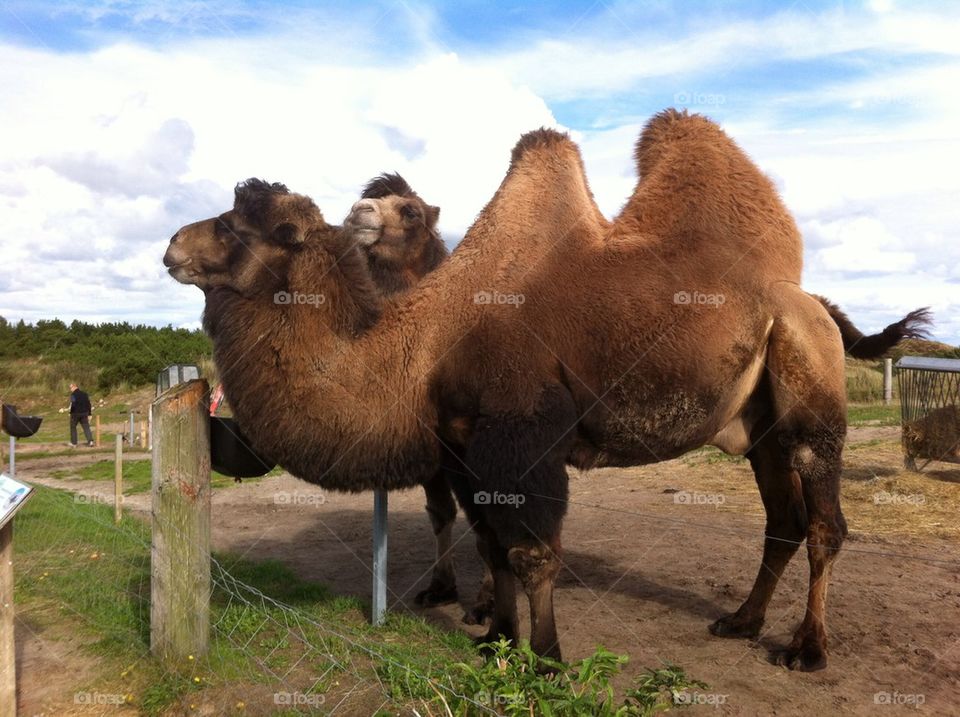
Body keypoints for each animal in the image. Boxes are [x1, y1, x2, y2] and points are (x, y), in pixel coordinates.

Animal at [164, 109, 932, 670]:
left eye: (234, 226)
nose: (171, 246)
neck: (425, 345)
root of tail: (813, 302)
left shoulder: (523, 436)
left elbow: (533, 553)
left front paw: (548, 657)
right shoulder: (466, 446)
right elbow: (492, 545)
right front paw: (495, 640)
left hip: (810, 390)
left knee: (823, 521)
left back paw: (806, 649)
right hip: (756, 425)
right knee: (782, 520)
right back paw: (741, 621)